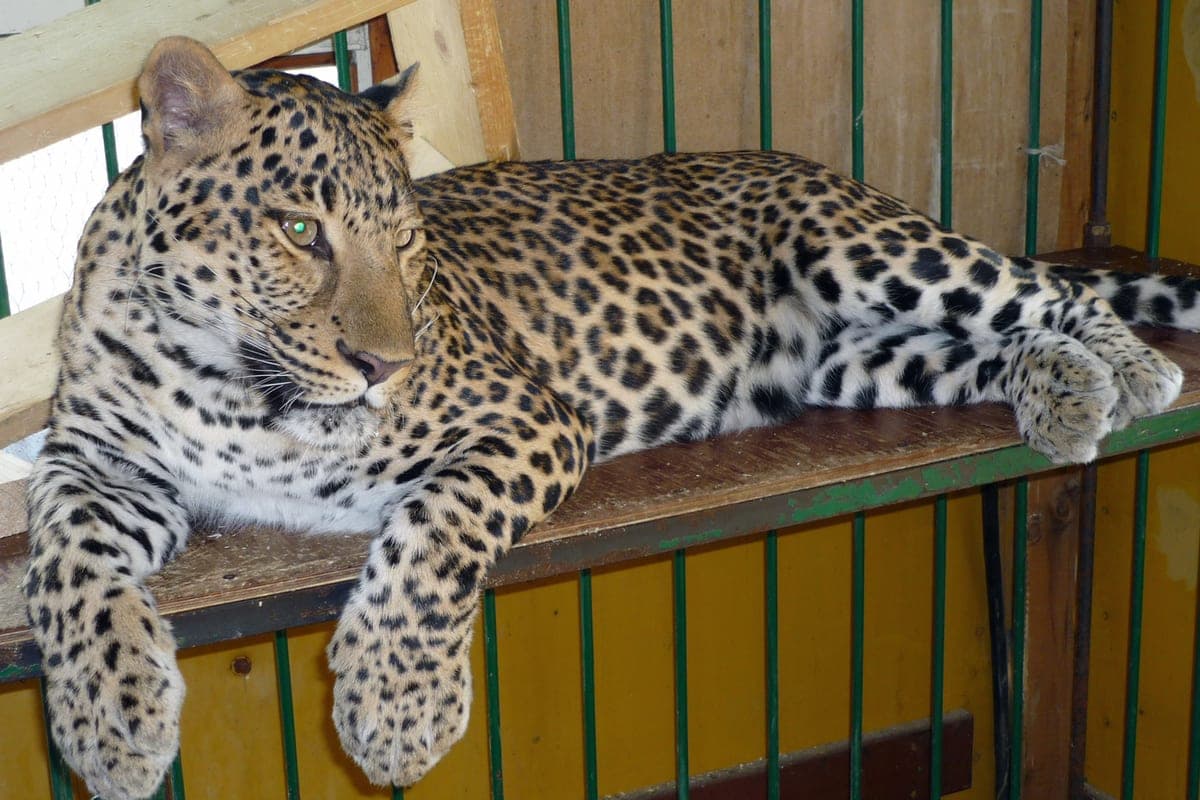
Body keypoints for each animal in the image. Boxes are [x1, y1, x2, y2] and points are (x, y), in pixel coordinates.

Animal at [21, 35, 1199, 799]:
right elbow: (65, 569)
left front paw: (397, 712)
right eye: (301, 231)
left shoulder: (526, 418)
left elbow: (431, 540)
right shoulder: (92, 461)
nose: (384, 367)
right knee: (981, 344)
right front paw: (112, 723)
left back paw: (1132, 370)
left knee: (1042, 290)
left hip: (873, 249)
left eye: (404, 241)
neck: (235, 386)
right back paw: (1061, 387)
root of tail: (801, 160)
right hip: (863, 362)